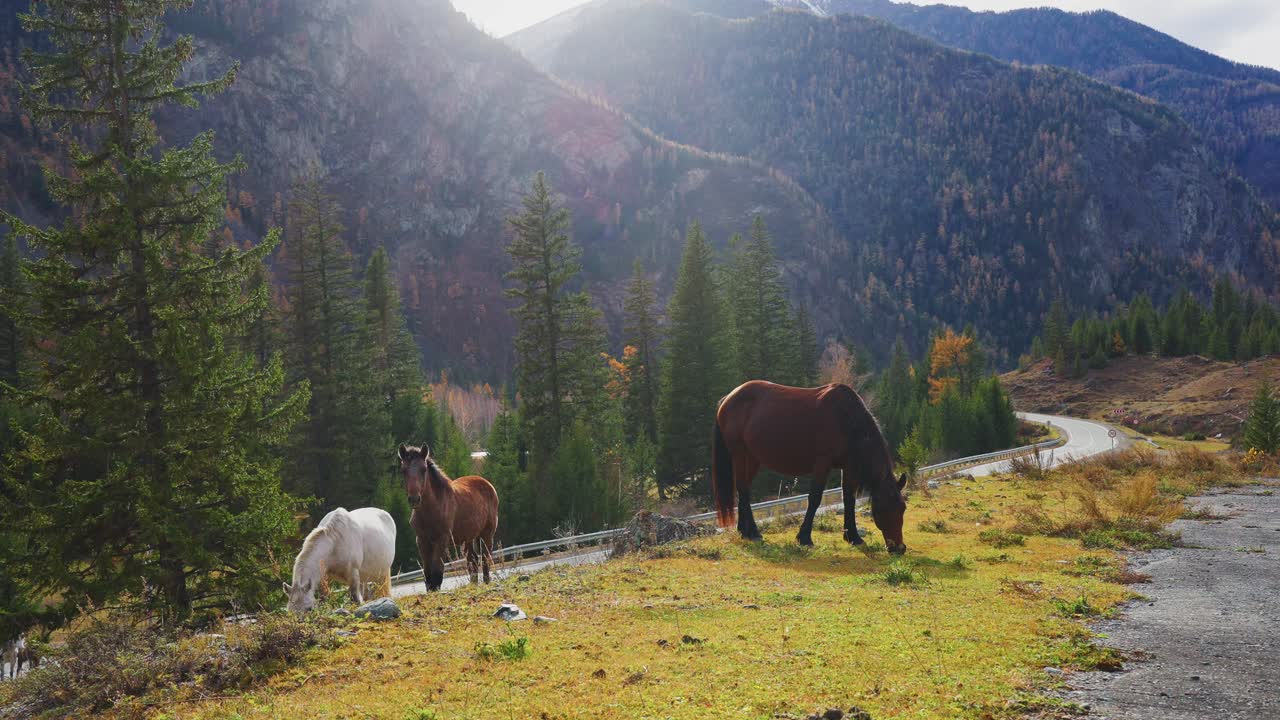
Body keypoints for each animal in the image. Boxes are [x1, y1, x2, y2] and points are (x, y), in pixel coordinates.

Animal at [397, 444, 499, 591]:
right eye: (403, 470)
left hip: (486, 534)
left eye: (423, 469)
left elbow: (437, 572)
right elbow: (427, 573)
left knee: (485, 559)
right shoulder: (421, 541)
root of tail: (488, 484)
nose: (414, 499)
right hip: (468, 538)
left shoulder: (442, 540)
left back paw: (486, 583)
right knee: (473, 560)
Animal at [712, 380, 908, 554]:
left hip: (752, 458)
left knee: (742, 489)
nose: (899, 548)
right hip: (739, 454)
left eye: (903, 508)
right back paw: (753, 533)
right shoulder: (823, 463)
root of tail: (728, 398)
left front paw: (853, 537)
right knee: (743, 488)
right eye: (884, 508)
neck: (846, 419)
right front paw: (804, 537)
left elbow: (849, 498)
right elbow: (815, 498)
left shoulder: (848, 467)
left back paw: (743, 531)